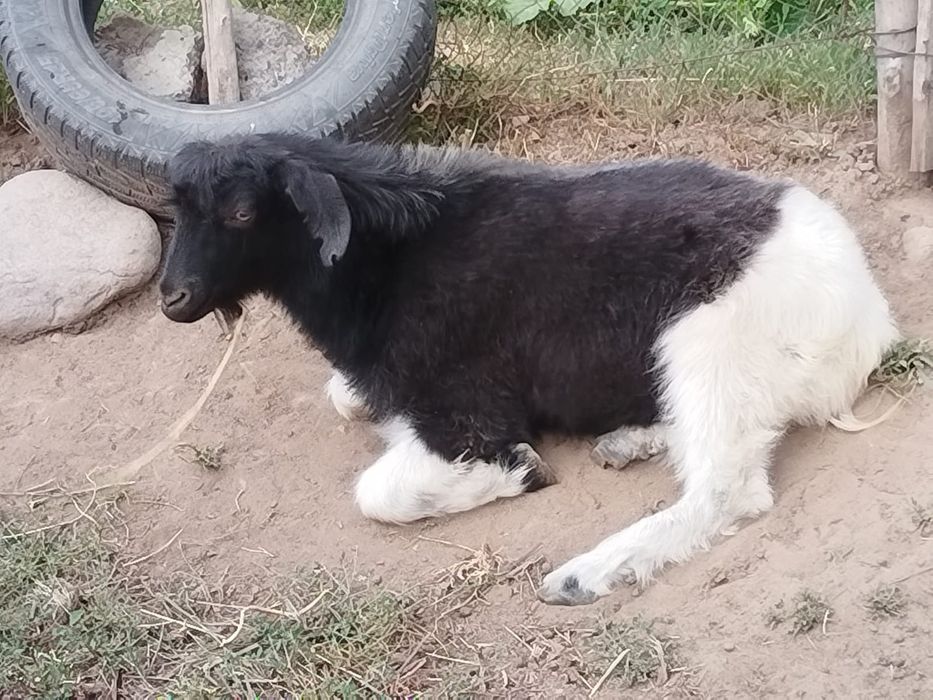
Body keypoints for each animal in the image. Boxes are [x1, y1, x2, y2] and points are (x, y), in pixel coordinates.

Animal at [158, 133, 899, 606]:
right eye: (175, 209)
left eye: (242, 211)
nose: (173, 299)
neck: (391, 261)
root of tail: (868, 317)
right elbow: (345, 398)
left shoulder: (467, 413)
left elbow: (378, 492)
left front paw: (520, 471)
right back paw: (630, 440)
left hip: (706, 345)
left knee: (728, 491)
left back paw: (587, 575)